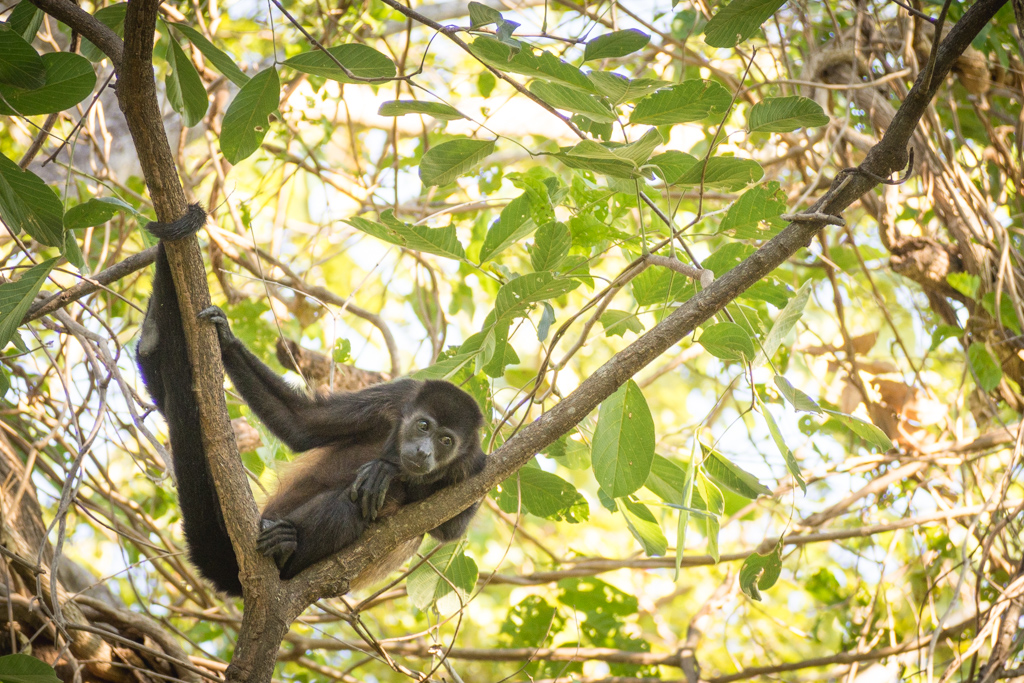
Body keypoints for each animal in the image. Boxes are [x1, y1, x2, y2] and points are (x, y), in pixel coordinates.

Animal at [137, 205, 487, 593]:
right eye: (423, 425)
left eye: (446, 441)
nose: (424, 451)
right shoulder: (396, 398)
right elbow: (302, 423)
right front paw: (226, 339)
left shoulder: (474, 465)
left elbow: (450, 529)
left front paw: (390, 469)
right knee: (349, 502)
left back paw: (287, 549)